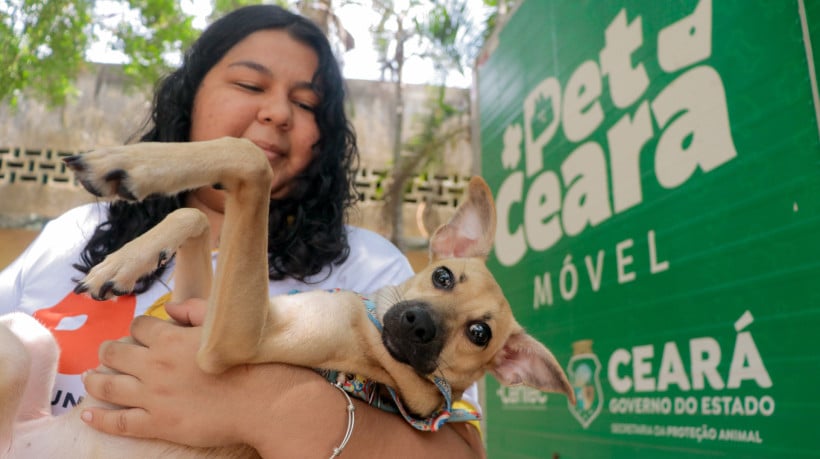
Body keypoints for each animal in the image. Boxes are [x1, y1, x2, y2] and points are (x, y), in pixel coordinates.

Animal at [0, 138, 572, 458]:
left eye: (480, 334)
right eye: (444, 276)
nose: (418, 323)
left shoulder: (223, 343)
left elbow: (252, 159)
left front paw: (128, 163)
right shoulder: (196, 309)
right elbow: (195, 215)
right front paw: (125, 260)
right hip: (30, 337)